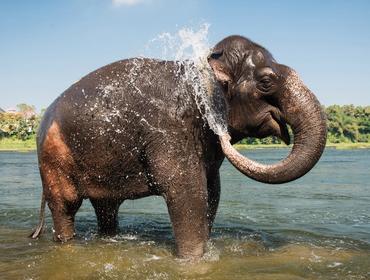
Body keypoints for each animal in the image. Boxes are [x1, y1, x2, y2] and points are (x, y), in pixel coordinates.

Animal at [30, 36, 326, 260]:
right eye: (266, 82)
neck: (204, 72)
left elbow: (212, 191)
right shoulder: (171, 128)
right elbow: (187, 190)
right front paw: (193, 261)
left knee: (107, 207)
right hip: (53, 159)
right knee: (66, 205)